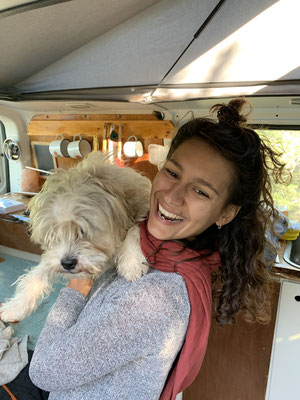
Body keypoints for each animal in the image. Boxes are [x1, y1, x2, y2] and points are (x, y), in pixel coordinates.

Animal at [0, 152, 150, 324]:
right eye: (53, 234)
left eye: (83, 231)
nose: (67, 264)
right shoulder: (54, 256)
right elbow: (38, 272)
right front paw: (15, 307)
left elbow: (136, 228)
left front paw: (132, 262)